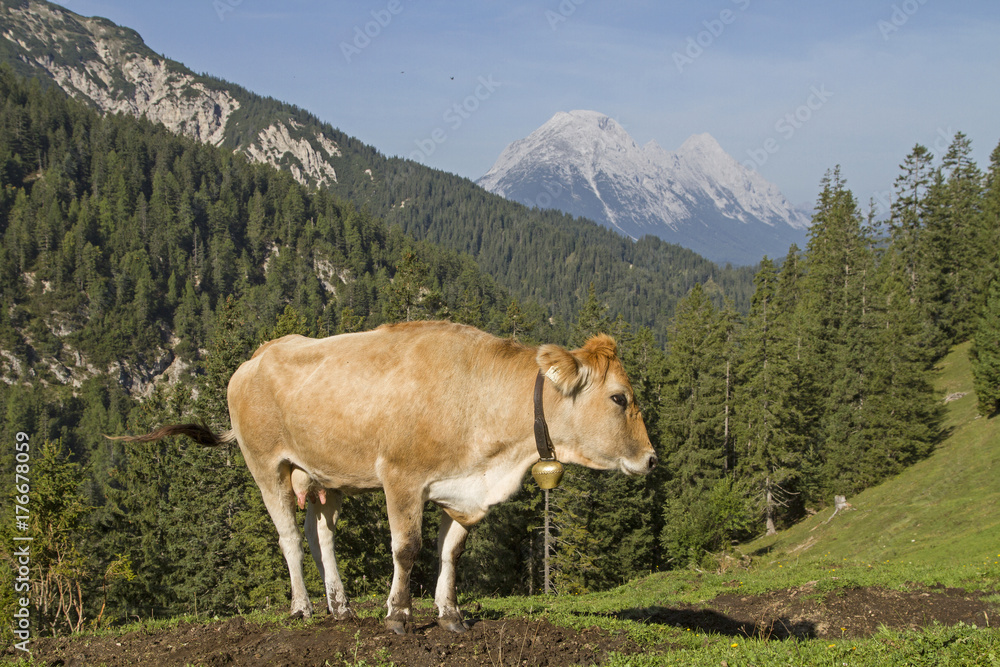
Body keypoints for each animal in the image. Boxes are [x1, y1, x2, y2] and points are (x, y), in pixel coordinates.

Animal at [117, 320, 656, 636]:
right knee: (289, 537)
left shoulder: (461, 491)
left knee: (321, 535)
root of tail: (259, 354)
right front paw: (398, 616)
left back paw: (340, 607)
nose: (651, 459)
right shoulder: (402, 478)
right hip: (266, 464)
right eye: (619, 398)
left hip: (326, 475)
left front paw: (450, 615)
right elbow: (406, 548)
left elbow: (450, 552)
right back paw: (303, 608)